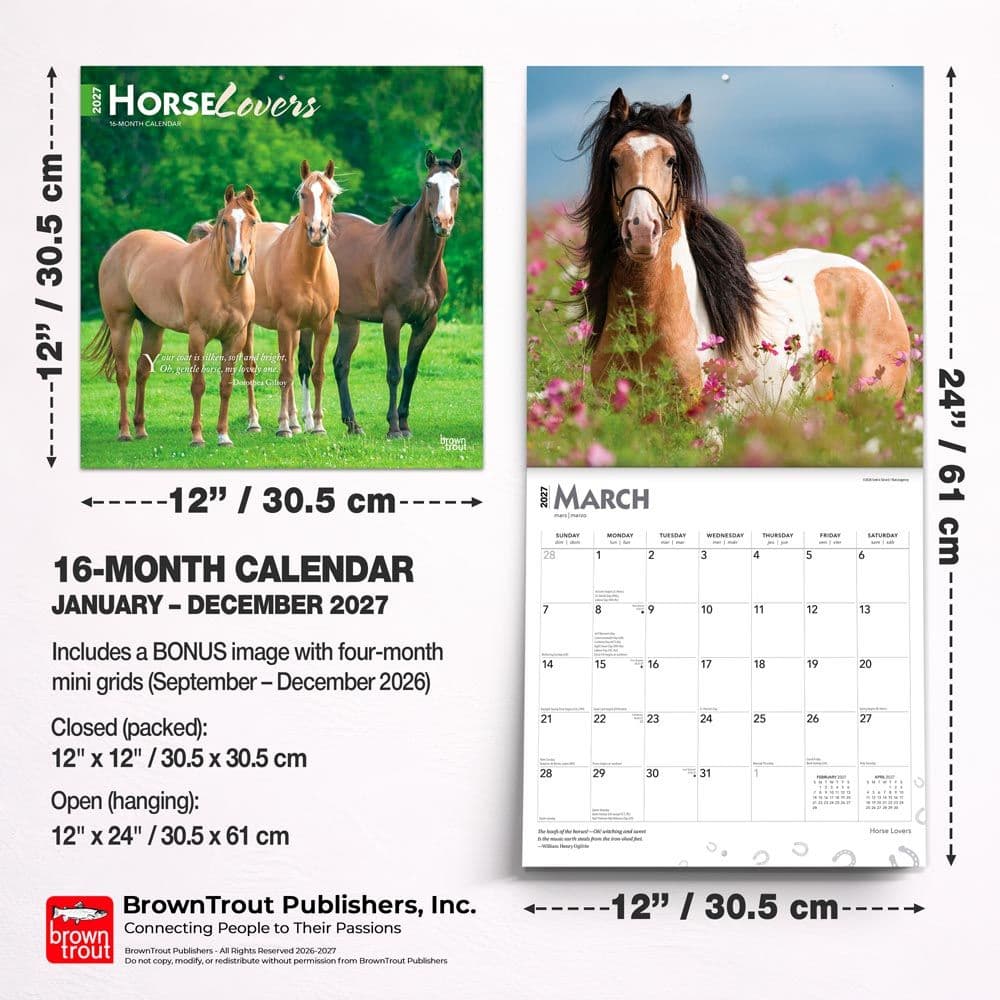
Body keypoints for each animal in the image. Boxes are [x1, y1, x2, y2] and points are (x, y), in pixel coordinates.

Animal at [85, 184, 259, 446]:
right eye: (225, 222)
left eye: (252, 221)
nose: (238, 261)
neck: (225, 285)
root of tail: (117, 248)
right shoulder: (197, 336)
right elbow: (198, 385)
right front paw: (197, 436)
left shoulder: (235, 338)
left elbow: (226, 386)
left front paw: (223, 435)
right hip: (120, 326)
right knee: (123, 374)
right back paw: (125, 431)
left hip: (153, 330)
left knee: (142, 372)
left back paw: (141, 429)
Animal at [243, 160, 341, 436]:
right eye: (303, 195)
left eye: (331, 195)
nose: (317, 231)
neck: (309, 271)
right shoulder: (285, 325)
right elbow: (285, 375)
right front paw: (282, 426)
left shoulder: (323, 326)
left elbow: (316, 373)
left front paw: (317, 425)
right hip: (248, 326)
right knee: (249, 370)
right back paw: (255, 422)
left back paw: (297, 421)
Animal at [297, 148, 463, 438]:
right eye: (429, 184)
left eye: (456, 185)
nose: (443, 223)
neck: (417, 261)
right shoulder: (392, 320)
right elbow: (394, 371)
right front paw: (394, 428)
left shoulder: (426, 323)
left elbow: (411, 371)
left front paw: (405, 424)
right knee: (306, 365)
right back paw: (308, 423)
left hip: (349, 321)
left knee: (340, 365)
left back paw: (352, 424)